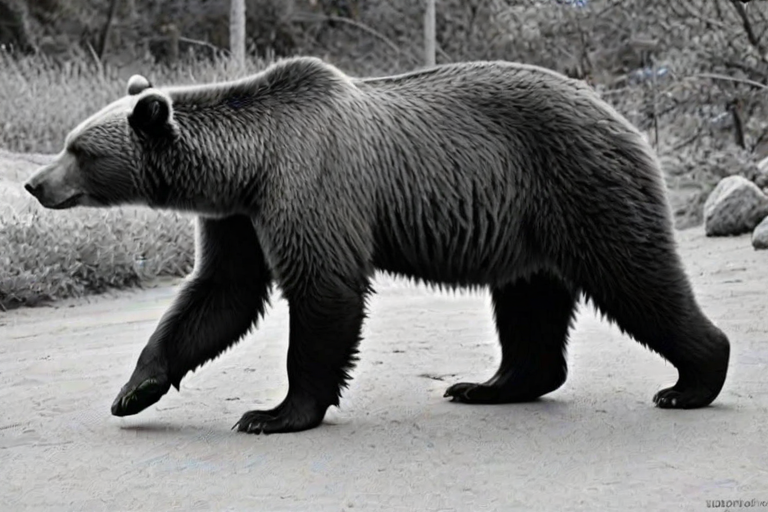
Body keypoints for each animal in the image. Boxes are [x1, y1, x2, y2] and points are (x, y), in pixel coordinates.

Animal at [24, 56, 731, 435]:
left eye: (79, 151)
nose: (34, 183)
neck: (248, 166)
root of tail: (618, 112)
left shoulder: (311, 184)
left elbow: (323, 291)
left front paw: (273, 413)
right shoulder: (240, 217)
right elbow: (220, 294)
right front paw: (133, 390)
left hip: (577, 183)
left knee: (634, 275)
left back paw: (692, 380)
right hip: (525, 223)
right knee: (528, 303)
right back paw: (488, 384)